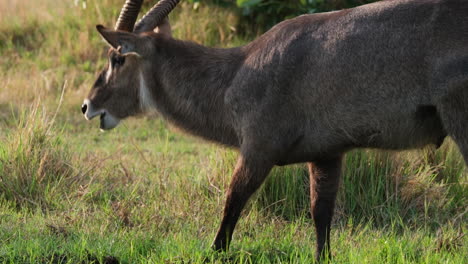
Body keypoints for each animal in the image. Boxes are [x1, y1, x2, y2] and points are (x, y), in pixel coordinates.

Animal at [83, 0, 468, 260]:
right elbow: (321, 215)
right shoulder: (327, 154)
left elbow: (231, 204)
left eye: (117, 58)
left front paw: (214, 252)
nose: (88, 106)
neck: (235, 73)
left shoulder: (258, 150)